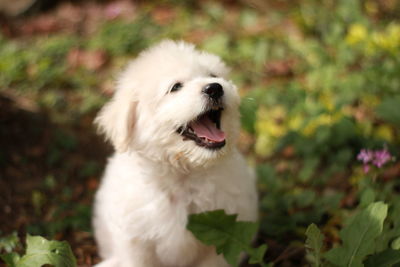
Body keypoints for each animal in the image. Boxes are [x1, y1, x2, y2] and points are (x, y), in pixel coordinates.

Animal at [92, 40, 258, 267]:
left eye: (213, 75)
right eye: (176, 87)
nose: (215, 87)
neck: (184, 174)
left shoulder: (225, 234)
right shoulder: (135, 240)